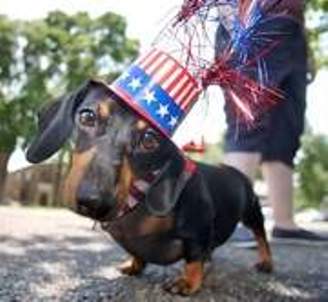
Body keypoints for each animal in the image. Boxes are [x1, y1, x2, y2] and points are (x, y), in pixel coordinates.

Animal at [25, 79, 272, 294]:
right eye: (87, 116)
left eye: (149, 139)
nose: (93, 201)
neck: (137, 201)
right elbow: (138, 253)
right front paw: (134, 264)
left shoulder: (198, 225)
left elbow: (194, 257)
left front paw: (187, 281)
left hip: (252, 212)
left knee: (261, 235)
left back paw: (266, 262)